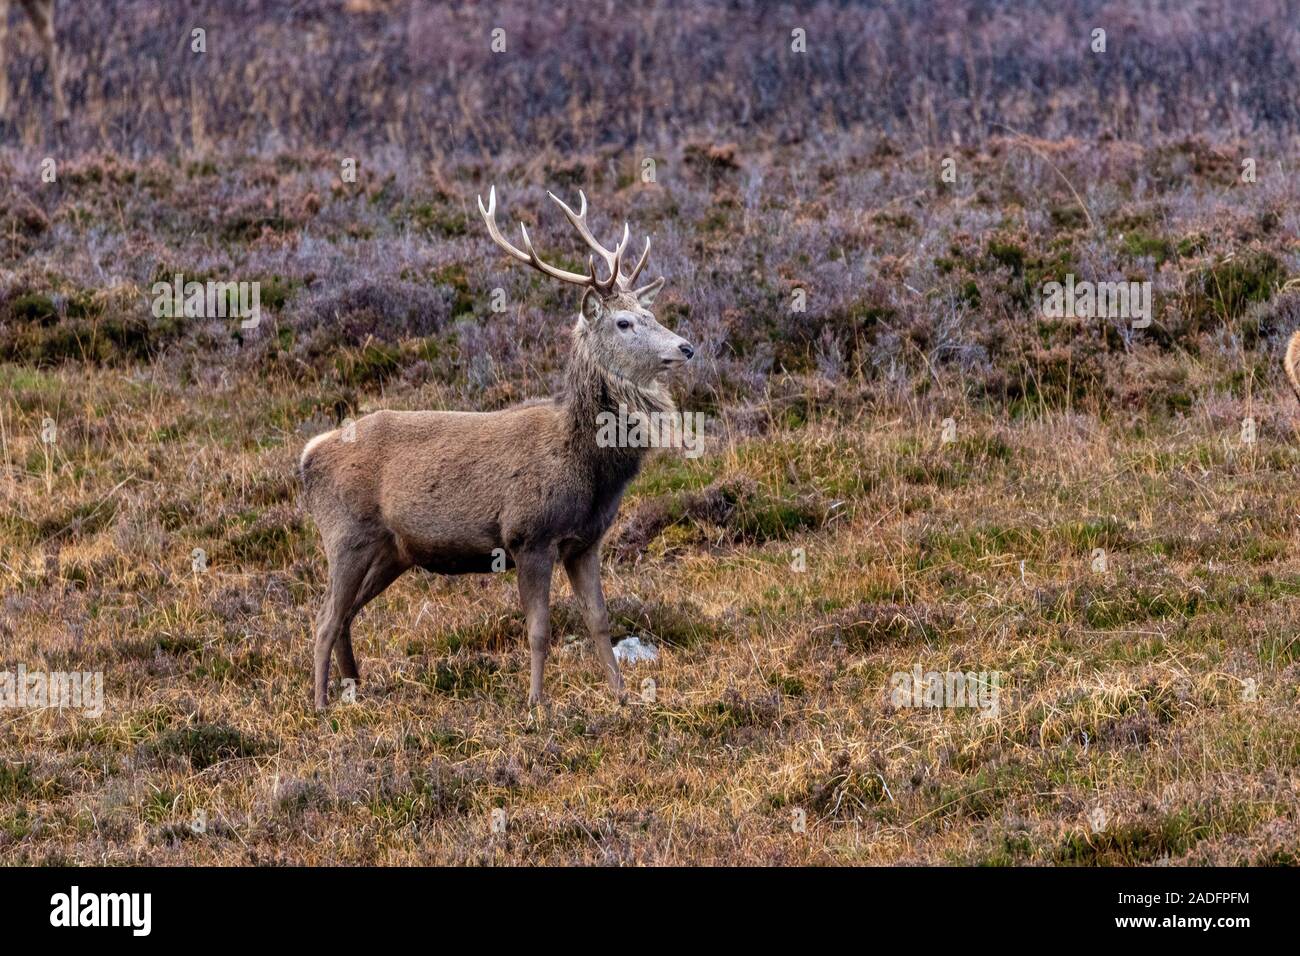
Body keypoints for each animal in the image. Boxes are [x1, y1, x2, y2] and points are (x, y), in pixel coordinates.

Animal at [300, 187, 696, 712]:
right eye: (624, 322)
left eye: (652, 314)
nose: (686, 346)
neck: (587, 468)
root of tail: (308, 455)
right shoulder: (529, 535)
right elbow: (539, 630)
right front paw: (537, 705)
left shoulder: (585, 542)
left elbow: (600, 620)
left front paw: (622, 696)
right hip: (345, 534)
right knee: (324, 619)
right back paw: (322, 706)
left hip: (391, 551)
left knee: (346, 616)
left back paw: (355, 690)